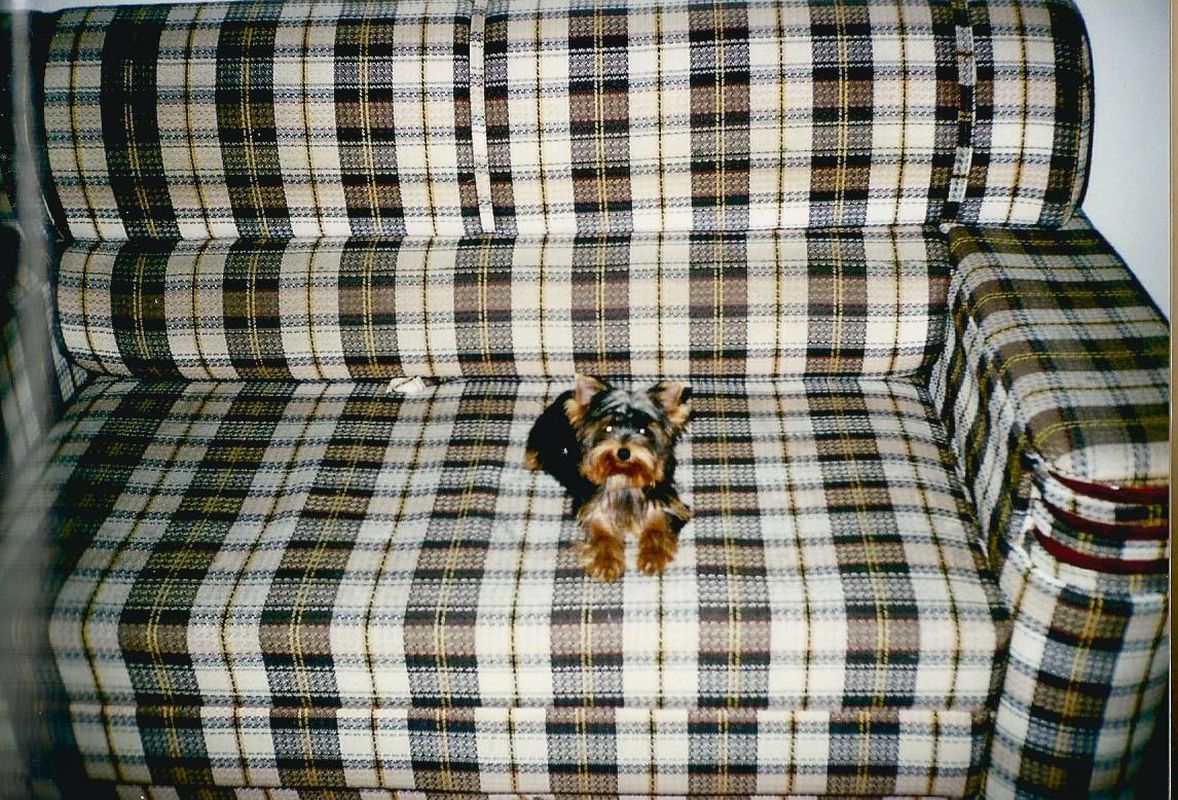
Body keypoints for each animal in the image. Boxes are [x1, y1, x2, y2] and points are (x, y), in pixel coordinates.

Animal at [525, 375, 692, 581]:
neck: (623, 476)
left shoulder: (664, 500)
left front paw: (652, 556)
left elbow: (658, 525)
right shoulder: (593, 506)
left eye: (643, 431)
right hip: (541, 434)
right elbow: (602, 532)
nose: (623, 452)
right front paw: (607, 563)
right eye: (609, 428)